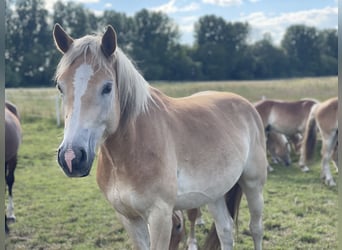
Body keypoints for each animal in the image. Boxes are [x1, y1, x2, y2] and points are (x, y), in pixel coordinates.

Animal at [52, 23, 268, 250]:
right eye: (60, 86)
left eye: (107, 87)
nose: (71, 157)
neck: (132, 148)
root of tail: (248, 106)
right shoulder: (129, 218)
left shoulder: (160, 217)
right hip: (215, 192)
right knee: (225, 230)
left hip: (253, 184)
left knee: (256, 228)